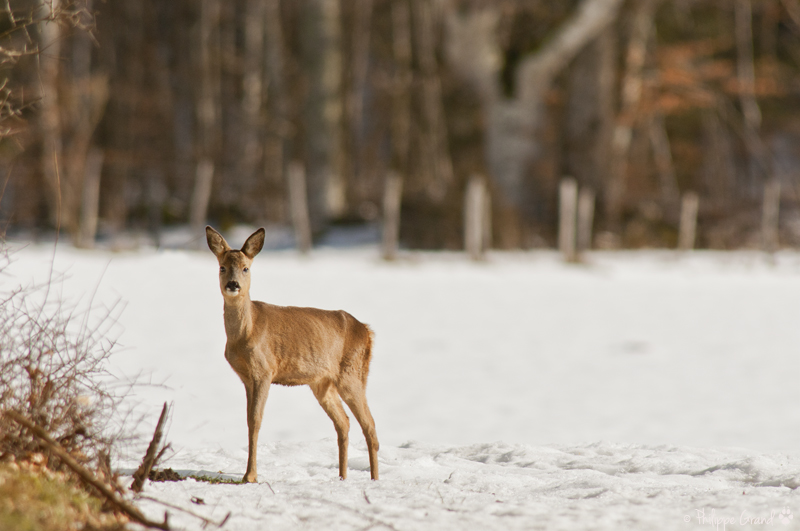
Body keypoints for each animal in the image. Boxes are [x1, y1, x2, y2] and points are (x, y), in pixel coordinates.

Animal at [206, 227, 382, 484]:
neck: (247, 331)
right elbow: (248, 420)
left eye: (246, 268)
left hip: (352, 374)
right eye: (222, 267)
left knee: (369, 424)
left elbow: (256, 420)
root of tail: (367, 331)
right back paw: (342, 477)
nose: (233, 284)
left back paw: (374, 479)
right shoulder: (247, 377)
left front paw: (250, 476)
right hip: (322, 383)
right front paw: (249, 473)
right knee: (344, 423)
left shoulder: (264, 370)